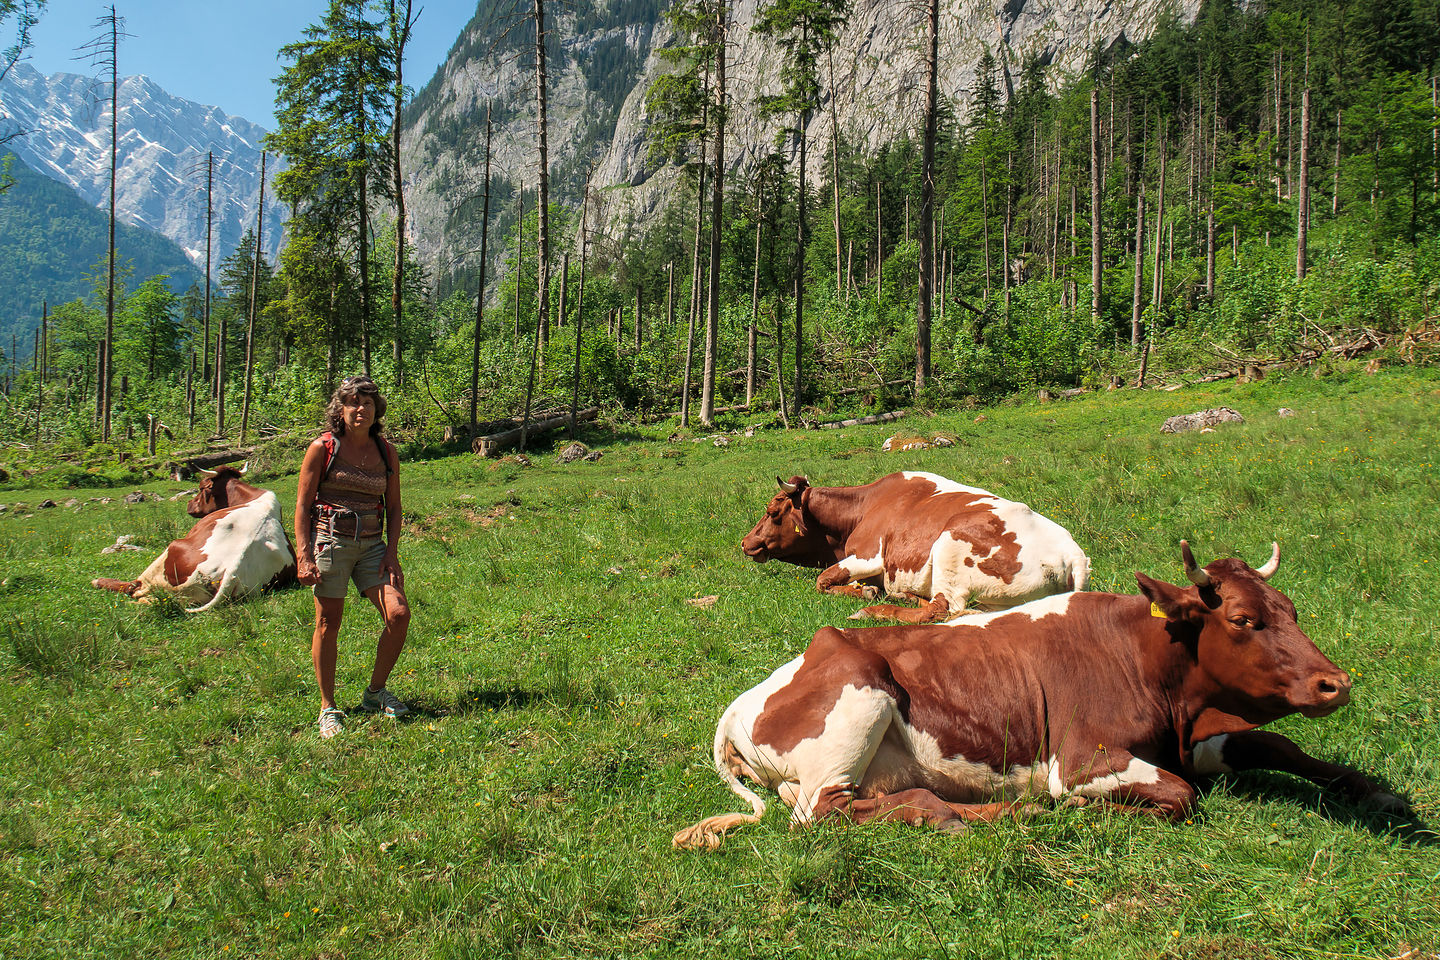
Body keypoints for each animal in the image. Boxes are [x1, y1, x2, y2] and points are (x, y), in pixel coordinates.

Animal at [91, 466, 296, 616]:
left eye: (201, 487)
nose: (189, 504)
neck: (255, 498)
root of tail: (233, 569)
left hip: (170, 550)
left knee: (135, 587)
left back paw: (99, 581)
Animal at [676, 544, 1405, 852]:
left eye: (1290, 609)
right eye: (1243, 620)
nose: (1334, 683)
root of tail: (747, 697)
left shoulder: (1194, 738)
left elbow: (1276, 743)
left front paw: (1374, 791)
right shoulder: (1083, 760)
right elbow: (1180, 796)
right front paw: (1096, 813)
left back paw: (983, 811)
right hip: (861, 694)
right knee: (821, 814)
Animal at [743, 472, 1088, 624]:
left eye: (773, 512)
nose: (745, 542)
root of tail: (1072, 552)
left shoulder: (870, 556)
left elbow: (823, 580)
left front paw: (864, 593)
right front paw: (870, 589)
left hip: (950, 543)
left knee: (942, 610)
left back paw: (875, 609)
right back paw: (902, 596)